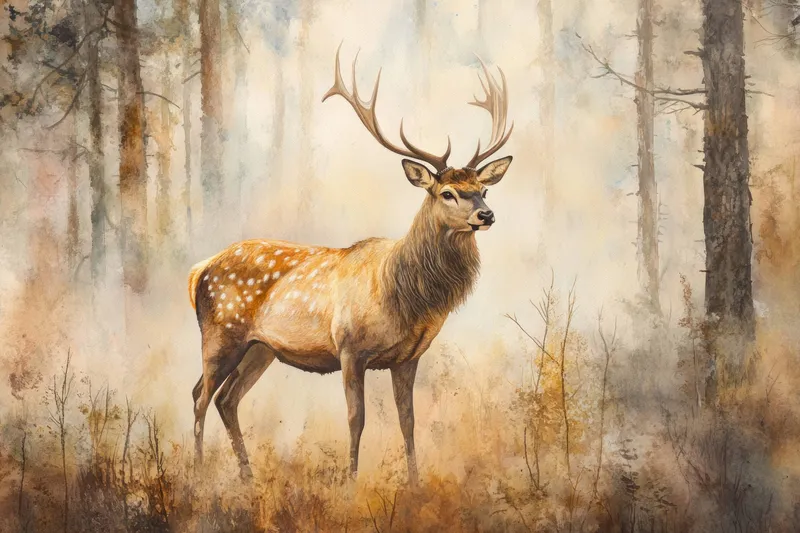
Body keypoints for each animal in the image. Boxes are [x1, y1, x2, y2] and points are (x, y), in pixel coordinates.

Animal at [188, 46, 514, 483]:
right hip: (220, 333)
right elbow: (356, 419)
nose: (487, 215)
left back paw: (247, 477)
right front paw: (350, 482)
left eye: (483, 189)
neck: (405, 296)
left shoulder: (408, 357)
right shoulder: (349, 348)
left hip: (260, 348)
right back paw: (200, 476)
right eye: (447, 192)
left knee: (227, 399)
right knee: (200, 396)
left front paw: (414, 483)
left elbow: (407, 421)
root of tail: (200, 269)